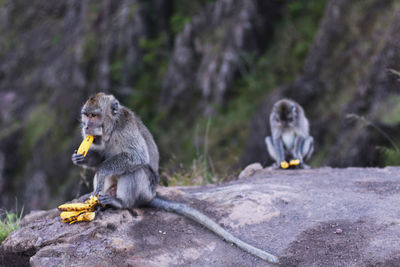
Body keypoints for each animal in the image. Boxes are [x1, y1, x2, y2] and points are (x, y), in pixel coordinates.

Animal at [71, 93, 278, 264]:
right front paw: (81, 158)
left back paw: (120, 202)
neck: (111, 129)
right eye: (86, 115)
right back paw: (98, 202)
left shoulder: (125, 129)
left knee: (135, 171)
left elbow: (136, 157)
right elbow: (100, 158)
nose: (86, 126)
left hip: (145, 188)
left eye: (94, 116)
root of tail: (151, 195)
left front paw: (103, 168)